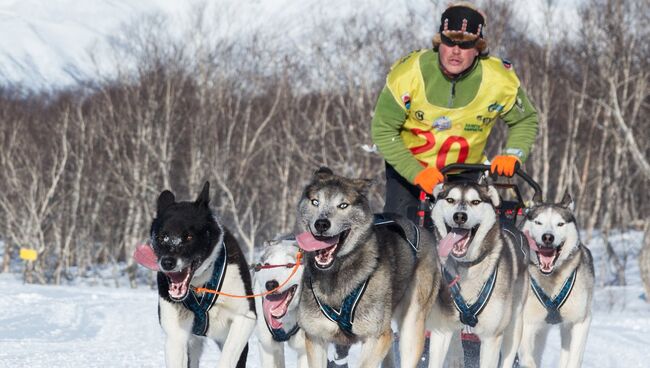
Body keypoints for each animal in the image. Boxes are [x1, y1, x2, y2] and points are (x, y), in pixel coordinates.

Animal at [134, 183, 256, 366]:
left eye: (189, 237)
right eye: (162, 237)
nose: (167, 262)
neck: (202, 285)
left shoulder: (245, 317)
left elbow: (227, 358)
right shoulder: (176, 337)